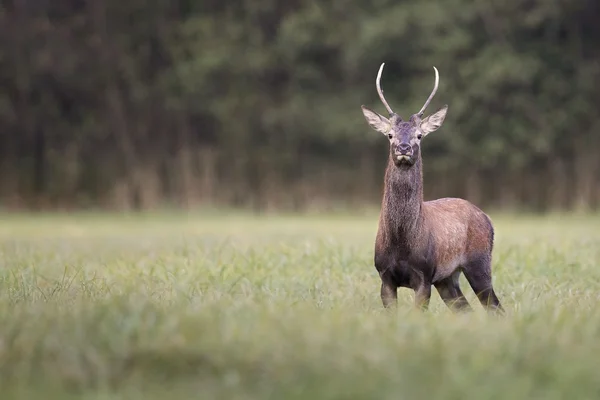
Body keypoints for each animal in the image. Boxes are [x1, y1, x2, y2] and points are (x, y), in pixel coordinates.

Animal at [358, 63, 504, 312]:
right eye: (390, 134)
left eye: (419, 135)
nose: (404, 148)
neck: (401, 243)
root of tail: (487, 218)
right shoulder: (384, 276)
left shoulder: (425, 275)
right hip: (447, 278)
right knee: (465, 308)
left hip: (479, 262)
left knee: (495, 306)